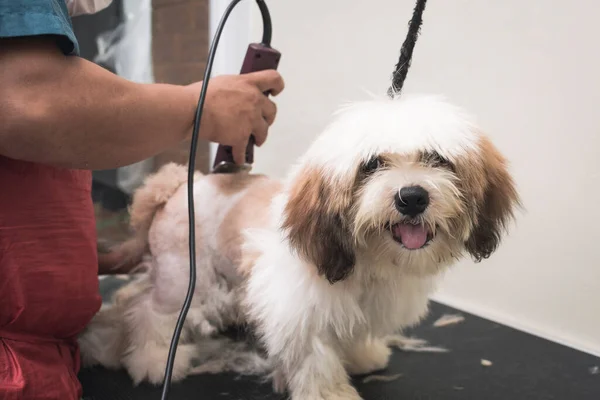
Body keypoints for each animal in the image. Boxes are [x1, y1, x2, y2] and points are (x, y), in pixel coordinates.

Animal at [79, 94, 520, 400]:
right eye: (372, 165)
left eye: (437, 159)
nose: (412, 197)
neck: (367, 260)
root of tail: (180, 183)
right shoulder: (299, 311)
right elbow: (316, 360)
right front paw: (332, 394)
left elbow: (351, 334)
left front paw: (362, 357)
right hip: (183, 279)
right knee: (149, 312)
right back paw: (150, 359)